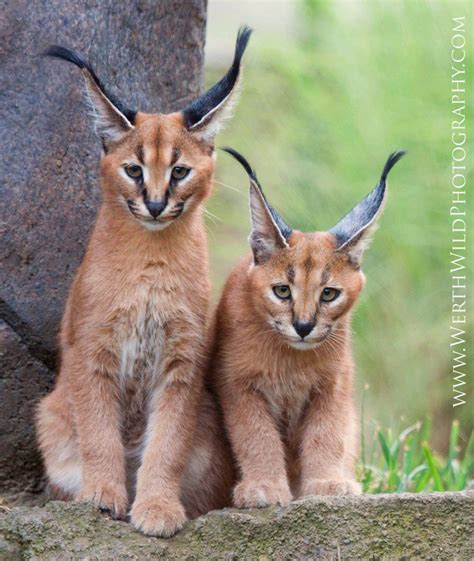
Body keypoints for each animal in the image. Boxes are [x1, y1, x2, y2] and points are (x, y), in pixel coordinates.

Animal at [36, 28, 252, 536]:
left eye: (180, 171)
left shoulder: (183, 359)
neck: (151, 260)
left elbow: (168, 441)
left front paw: (156, 506)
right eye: (133, 169)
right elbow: (99, 432)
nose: (154, 204)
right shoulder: (92, 350)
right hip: (51, 414)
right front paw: (103, 495)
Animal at [207, 147, 404, 506]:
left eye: (329, 294)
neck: (290, 361)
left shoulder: (333, 384)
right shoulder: (238, 384)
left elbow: (326, 433)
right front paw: (264, 486)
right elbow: (256, 435)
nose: (303, 326)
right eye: (282, 291)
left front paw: (327, 483)